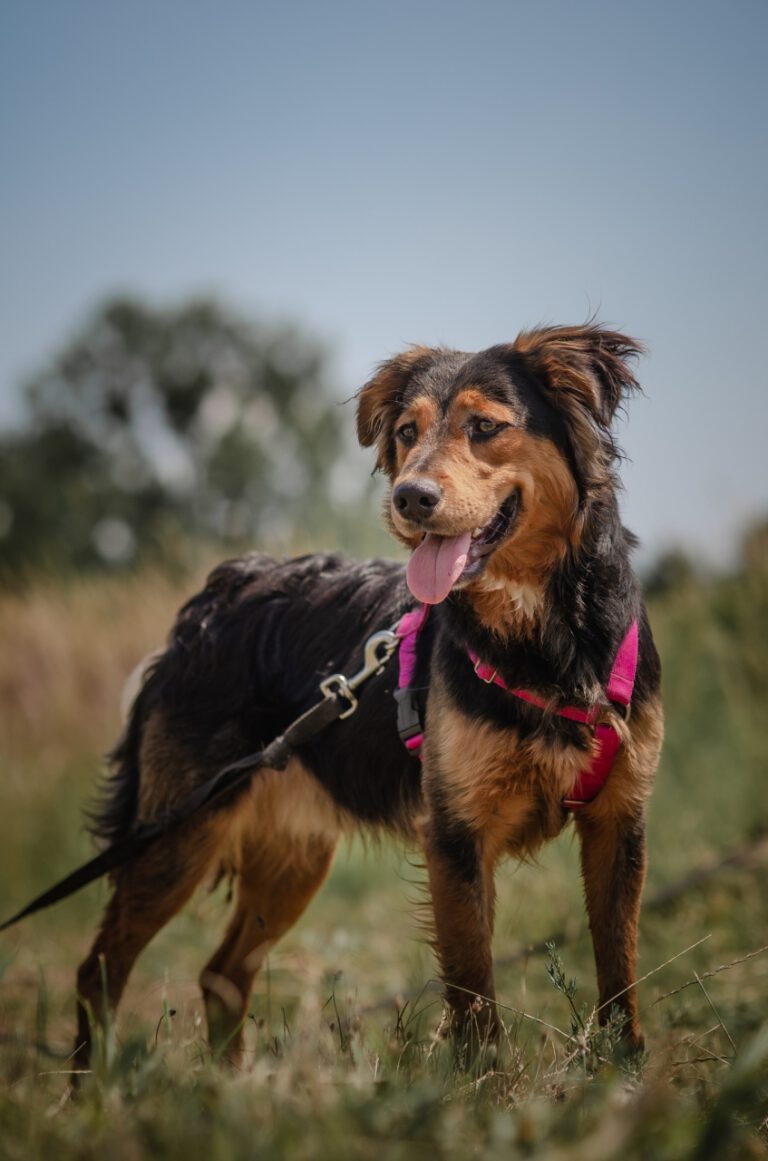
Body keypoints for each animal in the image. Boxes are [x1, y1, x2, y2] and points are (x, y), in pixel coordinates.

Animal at [74, 322, 659, 1063]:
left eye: (485, 427)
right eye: (407, 432)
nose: (409, 498)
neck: (546, 633)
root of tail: (213, 599)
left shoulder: (619, 821)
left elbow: (620, 970)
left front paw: (623, 1070)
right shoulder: (456, 834)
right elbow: (475, 998)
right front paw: (487, 1084)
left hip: (292, 858)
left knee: (221, 974)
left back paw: (225, 1083)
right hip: (179, 832)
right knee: (100, 970)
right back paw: (96, 1084)